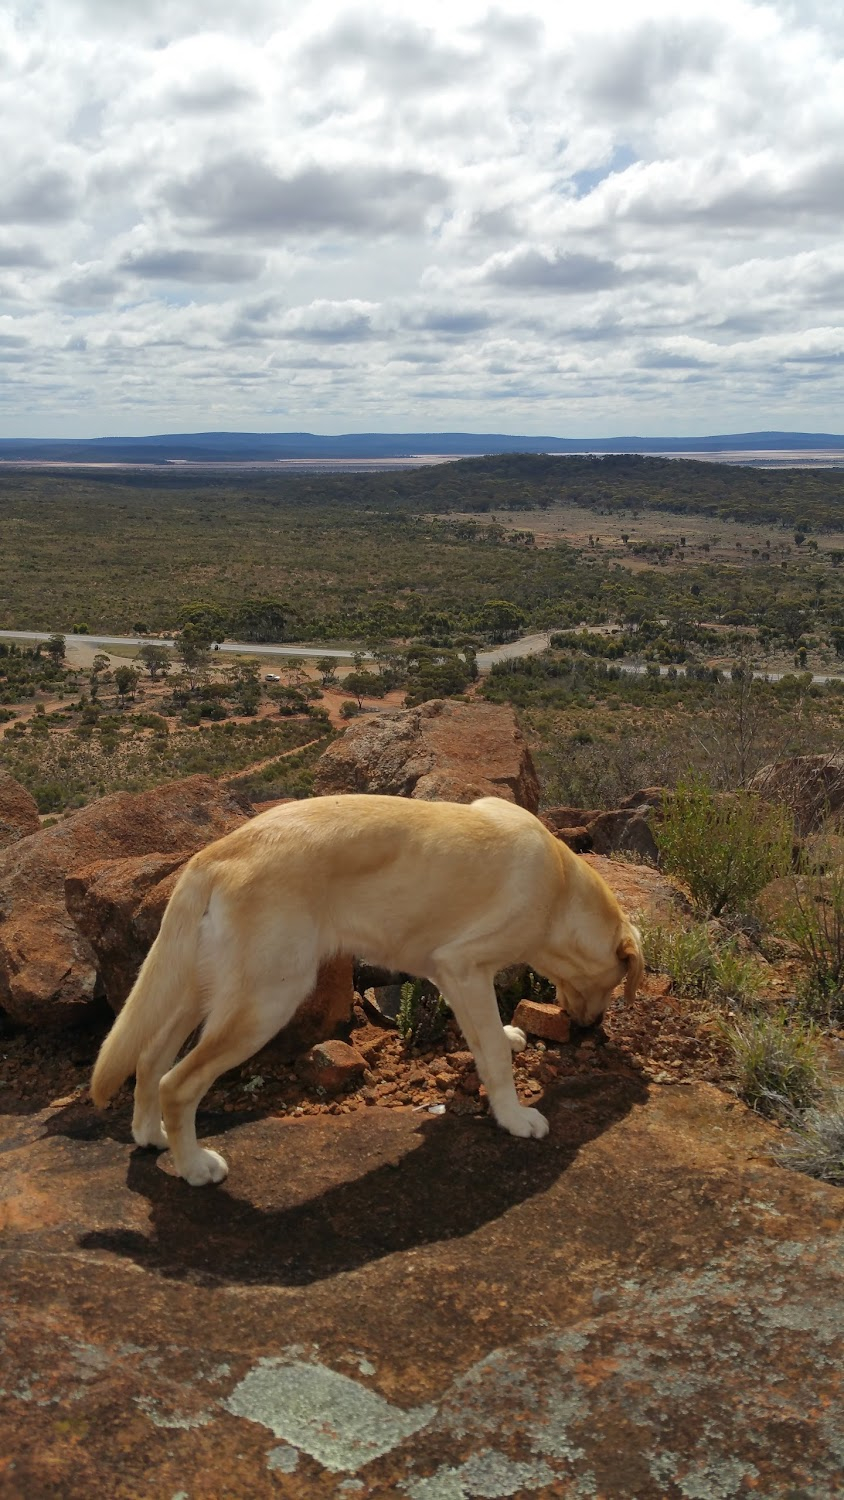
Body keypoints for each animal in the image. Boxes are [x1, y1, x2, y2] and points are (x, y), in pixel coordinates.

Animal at [92, 792, 644, 1188]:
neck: (561, 888)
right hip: (266, 1000)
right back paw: (194, 1167)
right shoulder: (463, 964)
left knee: (149, 1058)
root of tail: (212, 854)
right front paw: (512, 1117)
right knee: (177, 1083)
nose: (590, 1027)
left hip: (200, 986)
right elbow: (490, 1053)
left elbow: (480, 1034)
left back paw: (151, 1135)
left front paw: (507, 1038)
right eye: (616, 985)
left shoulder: (448, 970)